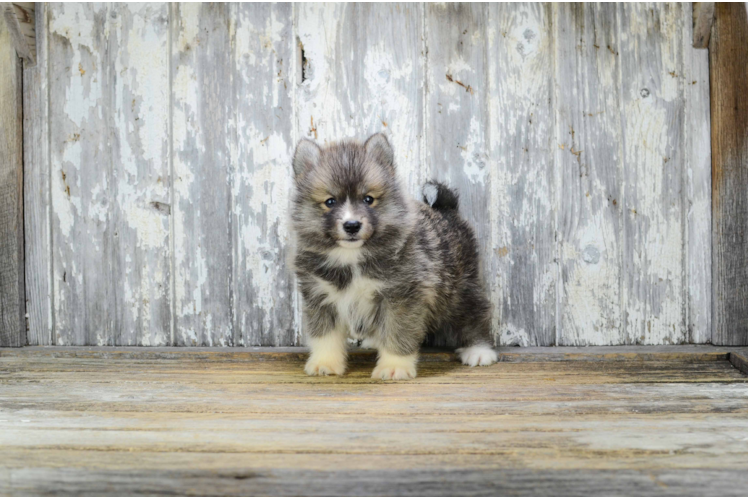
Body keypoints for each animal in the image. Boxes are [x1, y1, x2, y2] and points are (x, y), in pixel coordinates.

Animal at [290, 133, 496, 378]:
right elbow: (325, 335)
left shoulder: (401, 296)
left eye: (368, 199)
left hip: (461, 290)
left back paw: (479, 350)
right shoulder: (320, 296)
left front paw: (394, 366)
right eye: (330, 202)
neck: (352, 257)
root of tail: (447, 210)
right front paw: (325, 362)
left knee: (475, 315)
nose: (352, 225)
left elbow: (397, 334)